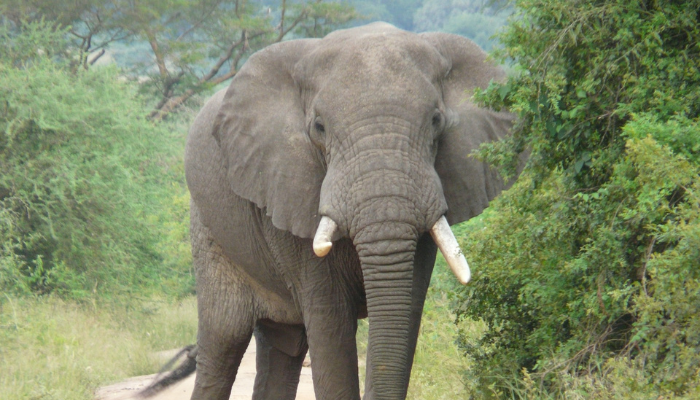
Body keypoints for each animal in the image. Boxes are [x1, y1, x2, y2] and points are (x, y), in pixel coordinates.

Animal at [180, 22, 519, 400]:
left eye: (435, 121)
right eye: (319, 127)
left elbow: (406, 313)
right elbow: (330, 324)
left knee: (284, 345)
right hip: (208, 230)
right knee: (223, 340)